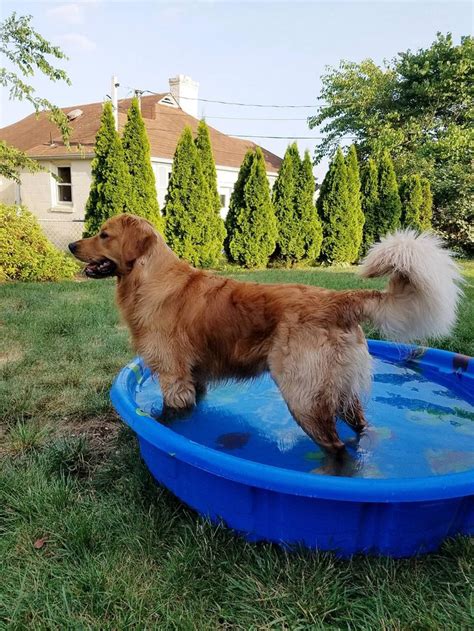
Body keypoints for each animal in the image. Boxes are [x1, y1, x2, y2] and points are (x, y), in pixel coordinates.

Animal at [68, 215, 462, 456]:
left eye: (104, 235)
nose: (72, 245)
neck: (149, 278)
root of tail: (337, 300)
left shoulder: (173, 377)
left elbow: (169, 419)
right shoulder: (195, 380)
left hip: (304, 397)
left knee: (335, 449)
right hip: (343, 393)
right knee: (361, 427)